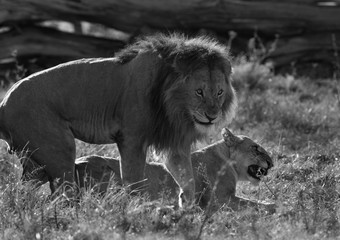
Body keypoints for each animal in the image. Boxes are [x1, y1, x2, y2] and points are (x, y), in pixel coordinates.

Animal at [0, 33, 236, 202]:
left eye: (219, 92)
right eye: (199, 92)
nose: (212, 116)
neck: (174, 106)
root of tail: (3, 104)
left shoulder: (174, 145)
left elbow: (187, 179)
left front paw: (187, 208)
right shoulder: (131, 139)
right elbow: (134, 181)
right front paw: (136, 210)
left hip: (36, 162)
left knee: (20, 190)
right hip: (59, 151)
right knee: (62, 195)